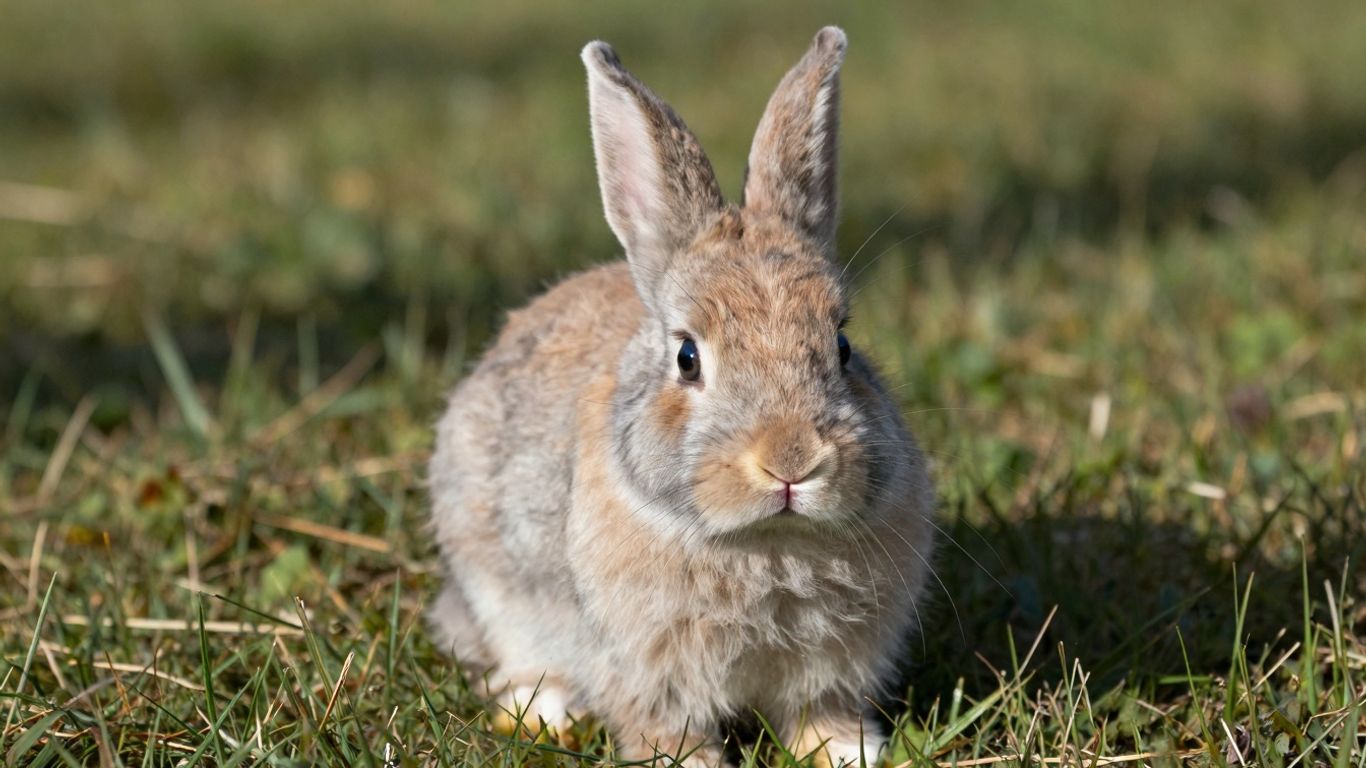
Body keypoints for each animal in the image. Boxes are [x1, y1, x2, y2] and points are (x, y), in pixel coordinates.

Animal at [428, 26, 935, 767]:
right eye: (687, 357)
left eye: (842, 345)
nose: (791, 461)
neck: (768, 543)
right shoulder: (647, 670)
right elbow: (666, 726)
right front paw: (691, 762)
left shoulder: (835, 668)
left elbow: (823, 715)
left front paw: (851, 754)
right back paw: (544, 711)